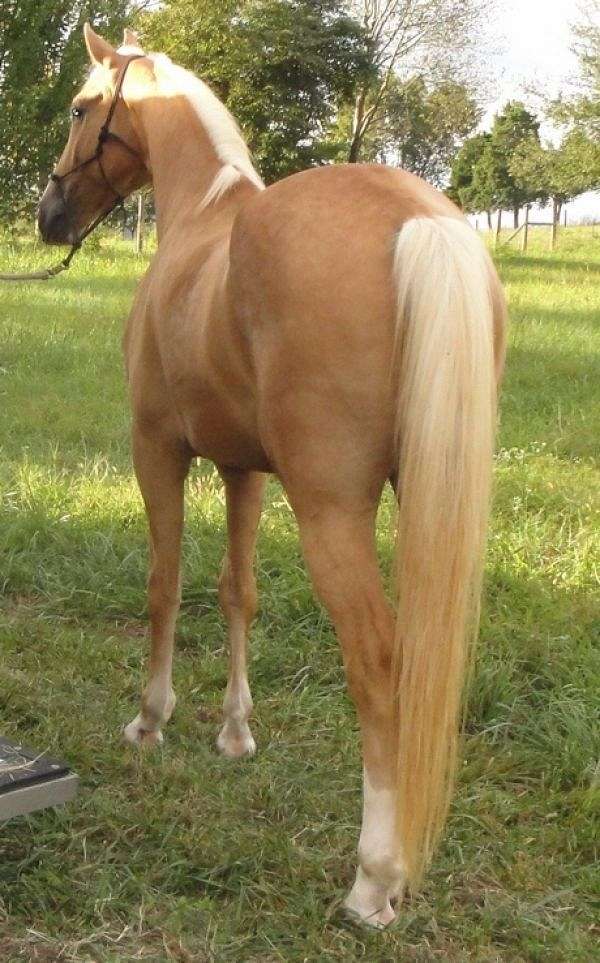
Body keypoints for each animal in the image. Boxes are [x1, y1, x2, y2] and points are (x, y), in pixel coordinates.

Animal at [38, 22, 506, 928]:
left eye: (79, 107)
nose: (49, 216)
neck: (203, 219)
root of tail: (420, 221)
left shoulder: (158, 450)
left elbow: (166, 584)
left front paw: (150, 721)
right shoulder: (241, 469)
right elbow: (238, 591)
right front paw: (234, 731)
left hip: (330, 512)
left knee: (379, 661)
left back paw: (373, 878)